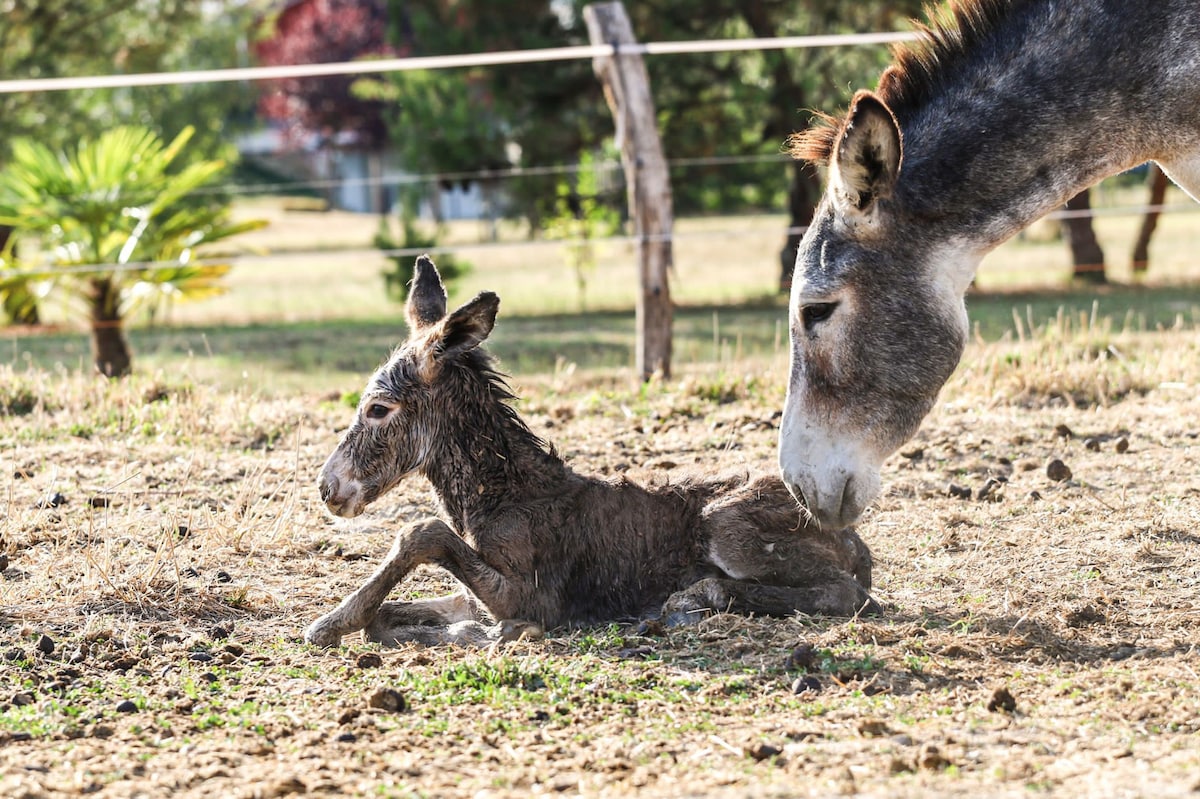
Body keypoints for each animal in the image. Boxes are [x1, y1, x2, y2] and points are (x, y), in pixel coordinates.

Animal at [304, 256, 878, 647]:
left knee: (846, 594)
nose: (328, 487)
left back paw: (690, 598)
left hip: (727, 525)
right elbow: (393, 615)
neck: (495, 499)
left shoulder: (535, 595)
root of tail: (855, 543)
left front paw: (328, 624)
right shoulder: (472, 594)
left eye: (378, 408)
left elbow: (420, 532)